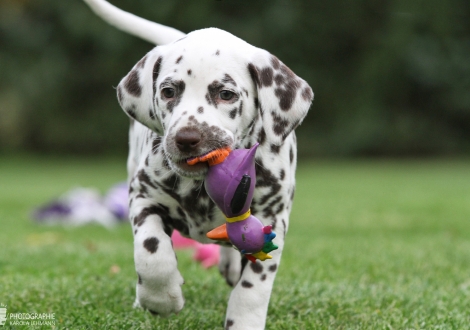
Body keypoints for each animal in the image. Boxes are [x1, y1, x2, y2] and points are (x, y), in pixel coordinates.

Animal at [82, 1, 314, 328]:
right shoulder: (144, 197)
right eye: (168, 91)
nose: (187, 138)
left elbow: (253, 287)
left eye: (226, 94)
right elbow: (152, 254)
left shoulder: (273, 221)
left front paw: (244, 320)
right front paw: (161, 298)